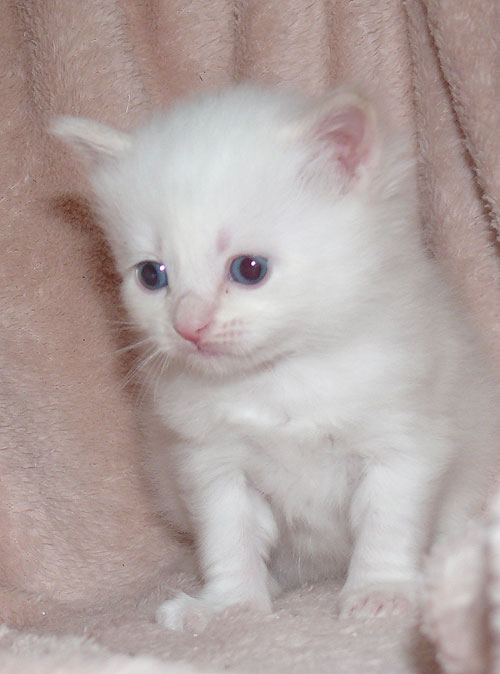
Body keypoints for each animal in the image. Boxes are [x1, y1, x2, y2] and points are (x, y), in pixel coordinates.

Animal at [52, 83, 500, 631]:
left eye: (249, 269)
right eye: (152, 275)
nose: (188, 326)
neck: (279, 377)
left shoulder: (403, 443)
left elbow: (387, 526)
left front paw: (380, 592)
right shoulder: (213, 464)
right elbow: (229, 539)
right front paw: (230, 605)